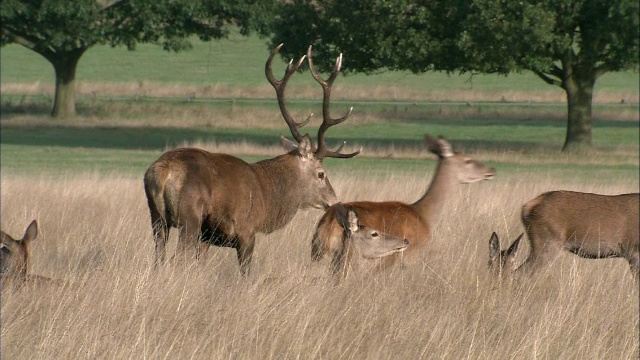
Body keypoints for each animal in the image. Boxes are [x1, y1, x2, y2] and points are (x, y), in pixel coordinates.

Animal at [144, 45, 360, 276]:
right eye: (321, 173)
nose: (334, 201)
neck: (269, 196)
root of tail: (164, 171)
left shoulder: (207, 237)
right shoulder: (247, 230)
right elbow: (246, 272)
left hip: (157, 218)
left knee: (158, 256)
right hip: (190, 216)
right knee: (177, 257)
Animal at [312, 135, 498, 268]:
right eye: (468, 160)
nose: (491, 170)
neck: (425, 215)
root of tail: (328, 225)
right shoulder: (412, 257)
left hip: (316, 255)